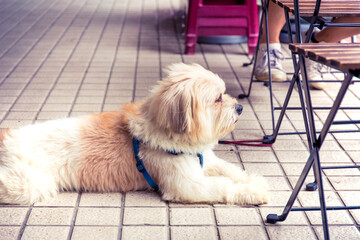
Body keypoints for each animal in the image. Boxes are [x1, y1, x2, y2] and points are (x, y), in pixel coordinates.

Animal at [0, 63, 268, 204]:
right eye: (218, 98)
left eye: (225, 93)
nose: (240, 107)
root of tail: (8, 137)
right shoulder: (188, 185)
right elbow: (224, 185)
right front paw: (254, 192)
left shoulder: (207, 160)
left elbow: (232, 171)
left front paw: (255, 181)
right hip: (28, 184)